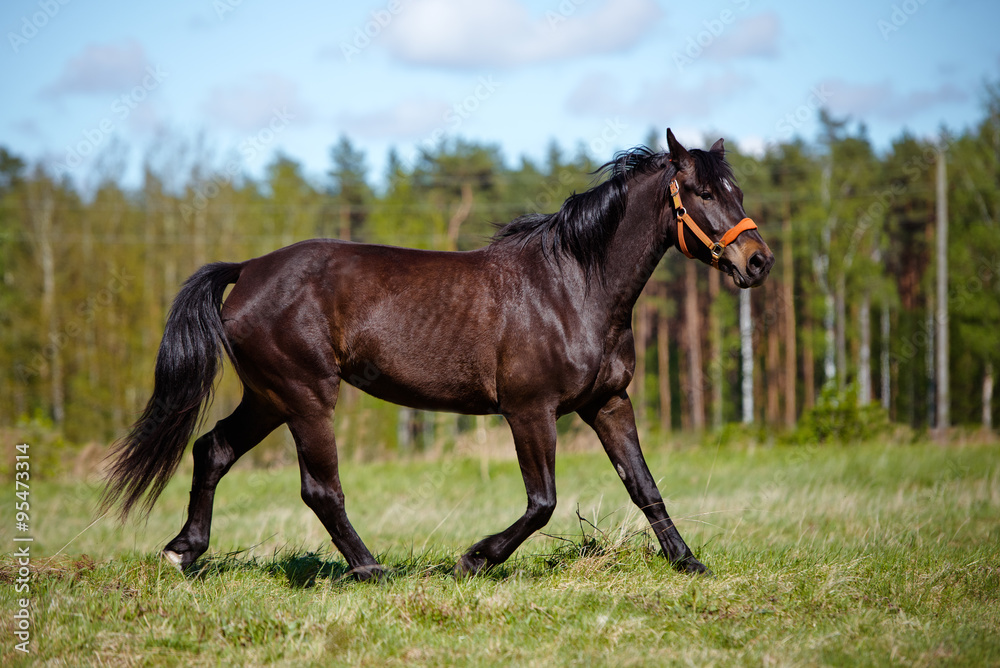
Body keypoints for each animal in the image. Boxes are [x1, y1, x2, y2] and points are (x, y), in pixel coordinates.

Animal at [101, 129, 772, 580]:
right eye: (702, 191)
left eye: (737, 190)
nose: (758, 261)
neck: (572, 287)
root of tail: (248, 270)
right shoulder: (529, 411)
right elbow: (543, 502)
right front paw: (473, 559)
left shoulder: (607, 402)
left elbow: (644, 485)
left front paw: (687, 562)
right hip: (306, 397)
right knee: (320, 488)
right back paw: (370, 569)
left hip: (268, 398)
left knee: (212, 451)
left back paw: (184, 551)